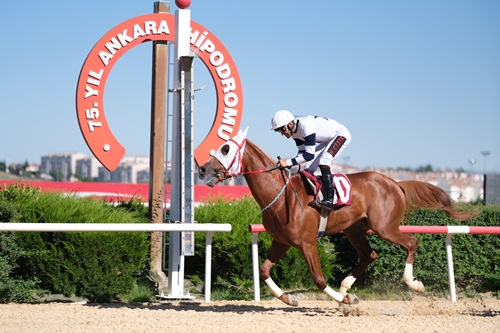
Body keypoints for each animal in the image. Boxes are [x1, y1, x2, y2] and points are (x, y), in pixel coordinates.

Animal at [197, 127, 478, 306]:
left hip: (384, 227)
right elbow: (264, 270)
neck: (280, 194)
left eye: (225, 149)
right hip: (354, 230)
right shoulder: (282, 241)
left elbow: (319, 279)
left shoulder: (307, 243)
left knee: (412, 242)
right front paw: (289, 298)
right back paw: (346, 285)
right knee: (369, 255)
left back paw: (412, 283)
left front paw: (344, 301)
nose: (201, 168)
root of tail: (395, 183)